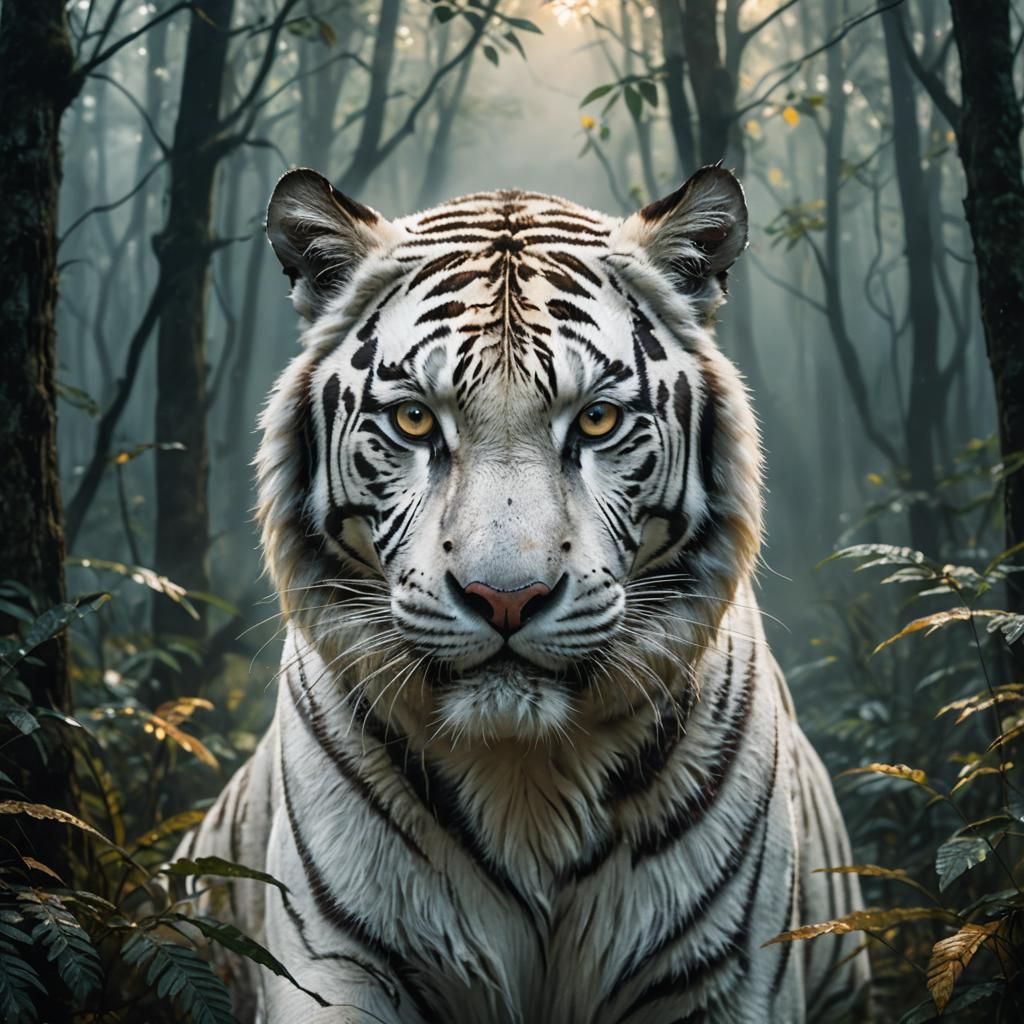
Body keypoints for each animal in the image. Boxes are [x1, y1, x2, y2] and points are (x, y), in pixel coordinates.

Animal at [179, 164, 871, 1023]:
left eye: (598, 420)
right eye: (415, 421)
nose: (505, 598)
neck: (527, 778)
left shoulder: (728, 978)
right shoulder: (337, 965)